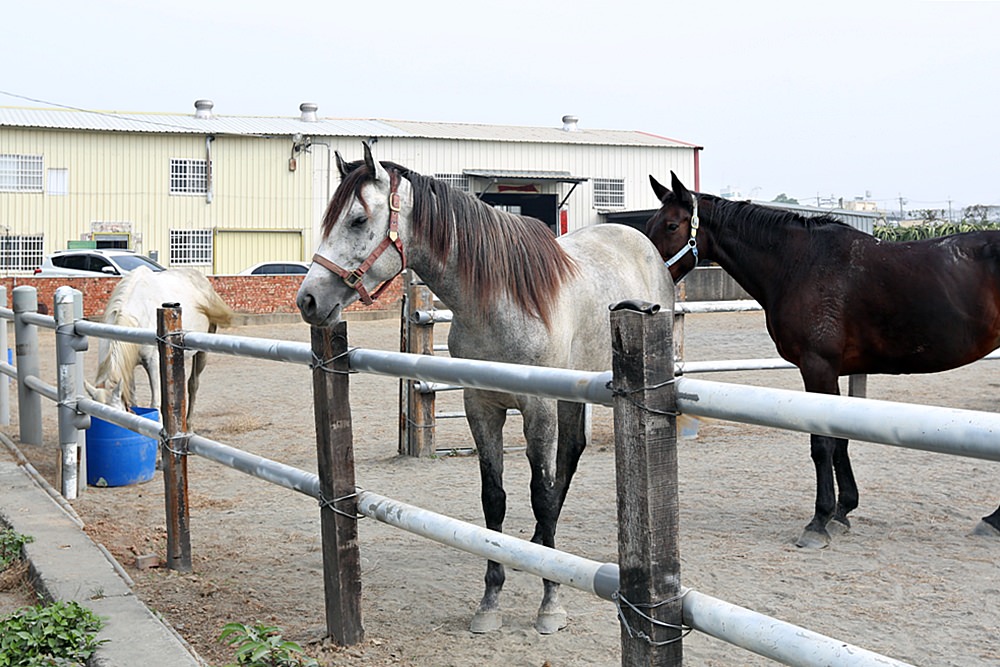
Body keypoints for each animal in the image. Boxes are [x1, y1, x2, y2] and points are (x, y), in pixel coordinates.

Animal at [85, 266, 233, 428]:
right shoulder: (129, 365)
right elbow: (133, 400)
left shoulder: (153, 364)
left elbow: (155, 403)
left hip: (201, 353)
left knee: (193, 384)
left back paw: (188, 424)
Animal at [292, 146, 676, 636]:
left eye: (358, 220)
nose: (308, 300)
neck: (501, 301)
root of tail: (639, 241)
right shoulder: (481, 406)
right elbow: (494, 498)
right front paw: (491, 599)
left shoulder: (537, 408)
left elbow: (538, 492)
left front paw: (550, 604)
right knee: (570, 455)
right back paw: (537, 544)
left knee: (561, 470)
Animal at [644, 171, 996, 548]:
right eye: (650, 223)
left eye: (671, 225)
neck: (799, 263)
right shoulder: (832, 372)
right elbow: (839, 436)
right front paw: (843, 510)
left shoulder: (817, 367)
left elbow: (822, 442)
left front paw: (819, 520)